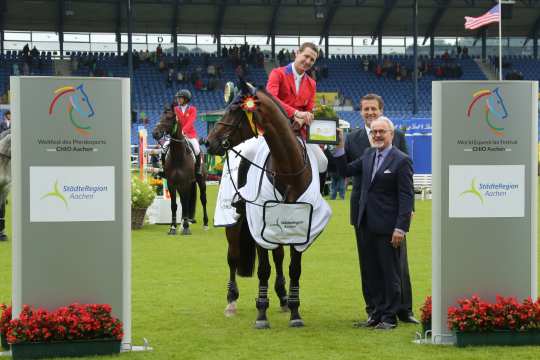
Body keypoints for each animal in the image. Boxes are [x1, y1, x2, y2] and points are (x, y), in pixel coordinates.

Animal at [154, 107, 211, 236]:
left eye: (169, 118)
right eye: (160, 117)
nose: (155, 133)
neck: (178, 156)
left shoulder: (186, 183)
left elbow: (185, 204)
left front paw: (185, 228)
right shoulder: (172, 184)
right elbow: (174, 205)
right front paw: (173, 227)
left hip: (200, 181)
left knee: (203, 200)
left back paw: (204, 224)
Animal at [208, 81, 316, 330]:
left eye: (234, 110)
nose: (207, 142)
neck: (288, 171)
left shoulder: (300, 227)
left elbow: (294, 269)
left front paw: (295, 311)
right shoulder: (258, 226)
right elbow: (263, 270)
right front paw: (261, 315)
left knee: (278, 257)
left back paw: (283, 298)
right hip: (234, 226)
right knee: (233, 258)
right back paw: (231, 301)